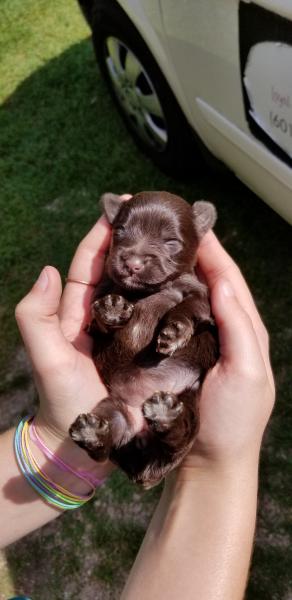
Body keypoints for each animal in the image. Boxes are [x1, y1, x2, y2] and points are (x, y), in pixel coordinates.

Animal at [69, 192, 218, 488]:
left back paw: (165, 415)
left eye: (171, 242)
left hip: (190, 402)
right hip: (115, 409)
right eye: (119, 231)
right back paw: (93, 434)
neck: (147, 292)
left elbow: (188, 309)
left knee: (176, 438)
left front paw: (174, 332)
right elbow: (97, 314)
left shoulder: (198, 294)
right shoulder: (104, 290)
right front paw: (112, 310)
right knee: (107, 444)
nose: (132, 263)